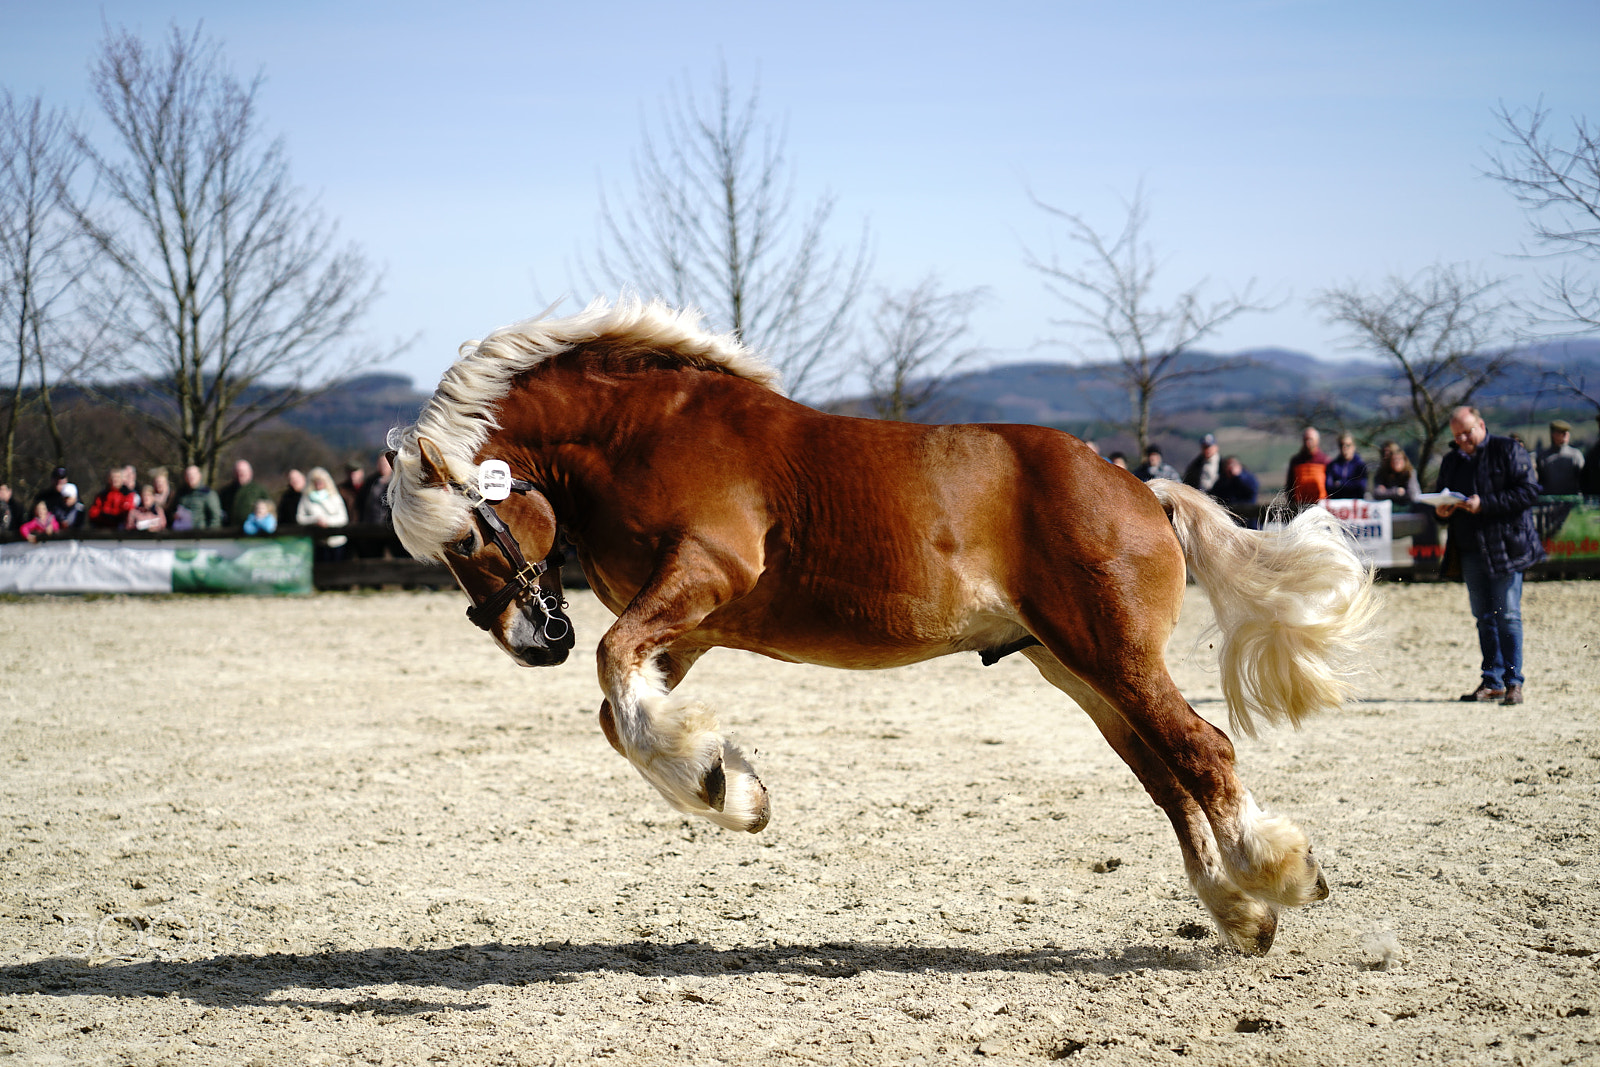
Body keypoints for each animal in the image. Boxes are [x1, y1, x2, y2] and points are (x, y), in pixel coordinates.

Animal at [384, 299, 1376, 953]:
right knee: (1171, 778)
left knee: (1204, 751)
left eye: (467, 532)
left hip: (1113, 656)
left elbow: (611, 665)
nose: (529, 642)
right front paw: (731, 787)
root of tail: (1138, 485)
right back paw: (1242, 912)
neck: (643, 432)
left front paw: (718, 783)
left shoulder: (706, 575)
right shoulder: (691, 627)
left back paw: (1280, 874)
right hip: (1079, 670)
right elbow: (616, 706)